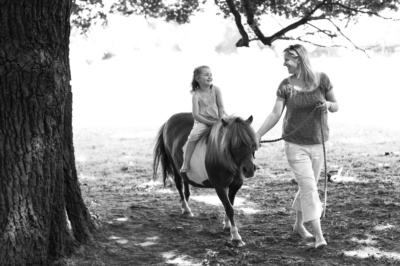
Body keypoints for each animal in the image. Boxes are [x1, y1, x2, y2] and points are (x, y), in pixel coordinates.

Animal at [152, 111, 258, 246]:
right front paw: (236, 237)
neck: (223, 156)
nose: (249, 169)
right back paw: (186, 208)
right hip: (174, 165)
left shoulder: (235, 185)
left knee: (185, 183)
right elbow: (229, 208)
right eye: (234, 144)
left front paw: (227, 225)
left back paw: (185, 206)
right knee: (179, 185)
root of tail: (168, 121)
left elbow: (230, 205)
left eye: (253, 143)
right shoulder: (219, 187)